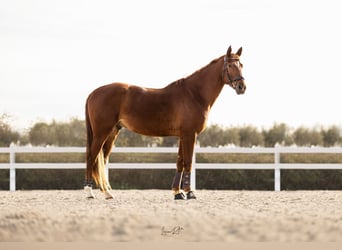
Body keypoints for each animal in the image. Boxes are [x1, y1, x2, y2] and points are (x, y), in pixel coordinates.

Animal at [85, 46, 246, 200]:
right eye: (230, 65)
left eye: (241, 65)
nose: (242, 87)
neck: (194, 94)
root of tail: (93, 93)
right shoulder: (190, 134)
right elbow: (188, 162)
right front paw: (189, 192)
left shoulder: (183, 135)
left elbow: (180, 162)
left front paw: (178, 193)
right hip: (101, 133)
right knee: (92, 157)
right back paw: (89, 192)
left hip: (113, 132)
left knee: (103, 159)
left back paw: (107, 192)